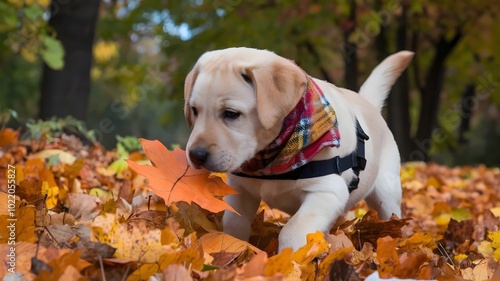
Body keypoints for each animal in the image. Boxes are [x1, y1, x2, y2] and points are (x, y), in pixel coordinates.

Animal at [186, 47, 412, 250]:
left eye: (231, 113)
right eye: (194, 110)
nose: (195, 155)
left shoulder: (328, 191)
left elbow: (292, 229)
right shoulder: (241, 190)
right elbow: (234, 222)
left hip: (387, 191)